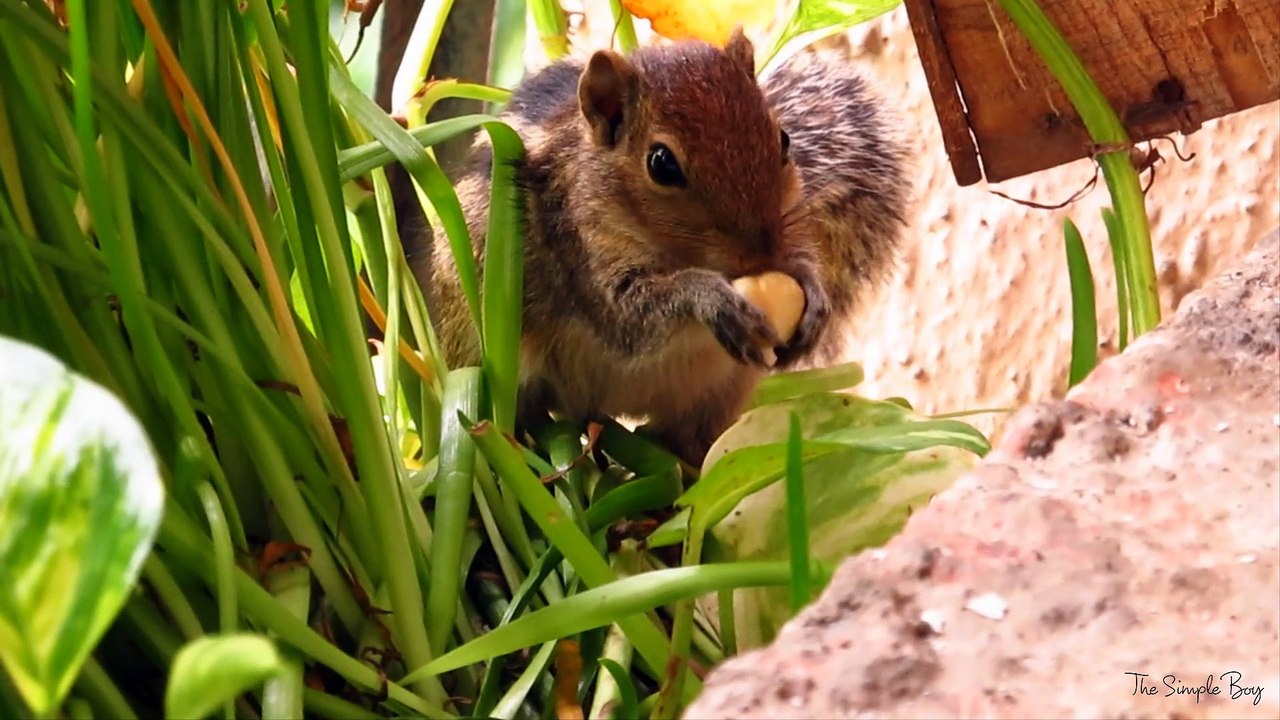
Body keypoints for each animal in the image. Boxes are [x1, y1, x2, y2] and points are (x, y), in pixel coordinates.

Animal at [409, 29, 910, 465]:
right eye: (662, 163)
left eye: (783, 140)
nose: (762, 254)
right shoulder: (578, 247)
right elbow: (628, 313)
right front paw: (709, 299)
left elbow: (804, 257)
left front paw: (814, 298)